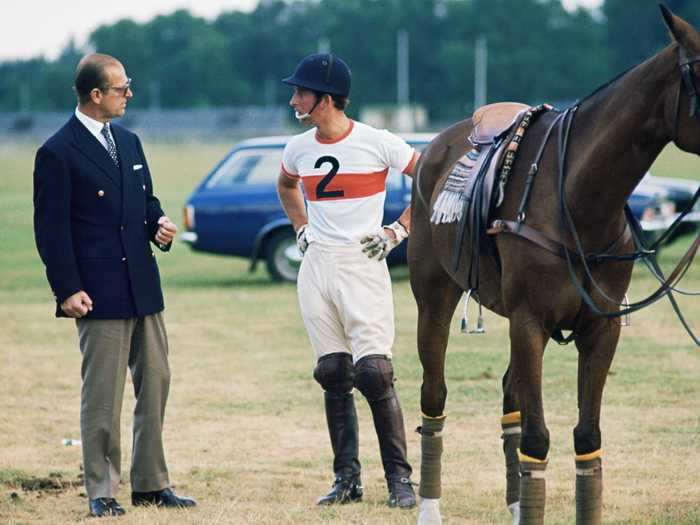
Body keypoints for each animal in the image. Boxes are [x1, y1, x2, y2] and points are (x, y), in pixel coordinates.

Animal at [410, 7, 700, 524]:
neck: (579, 197)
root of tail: (433, 149)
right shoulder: (529, 320)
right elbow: (537, 438)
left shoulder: (602, 327)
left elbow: (586, 438)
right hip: (434, 298)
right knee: (435, 395)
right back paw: (429, 507)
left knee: (510, 395)